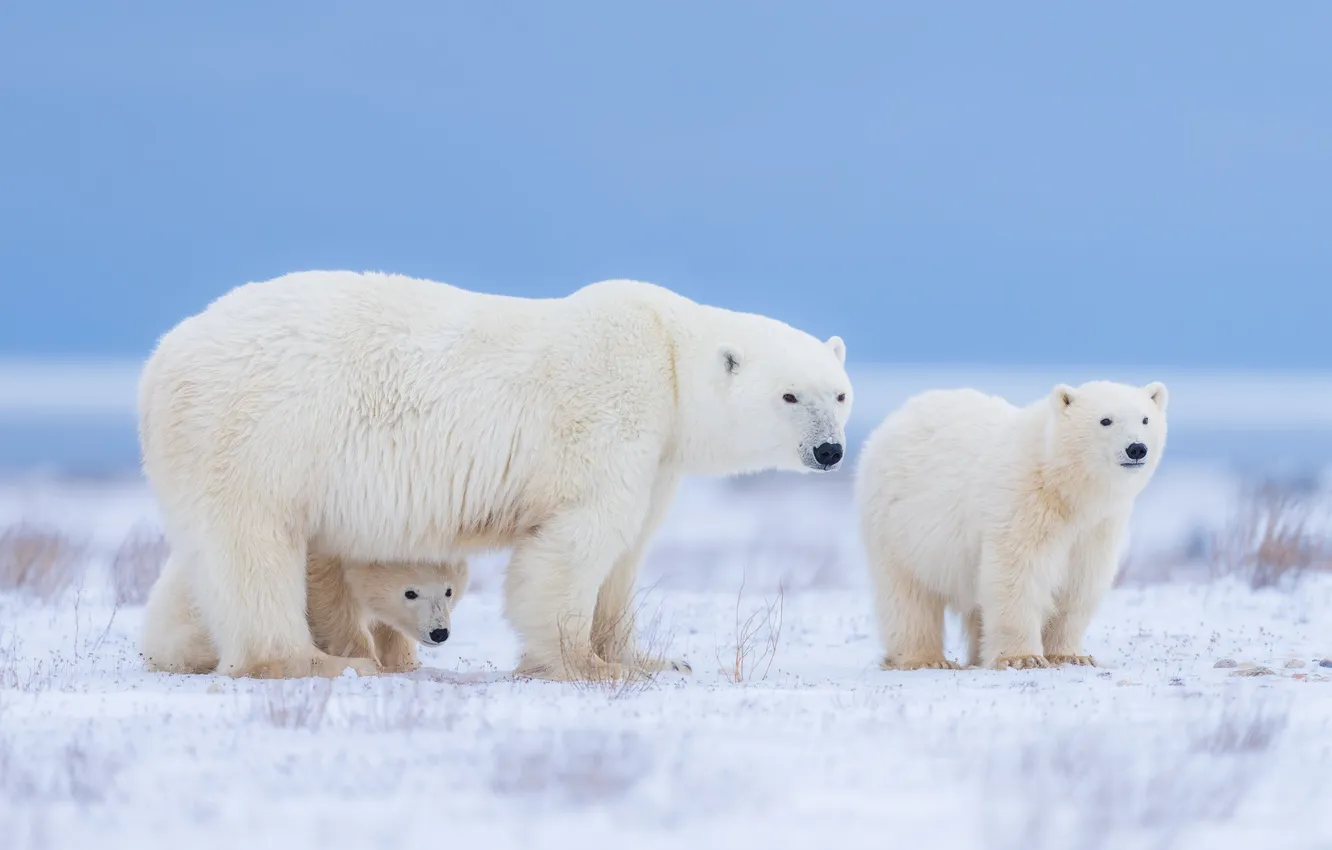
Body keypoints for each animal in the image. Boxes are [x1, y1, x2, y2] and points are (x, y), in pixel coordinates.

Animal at [856, 380, 1167, 671]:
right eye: (1105, 420)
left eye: (1145, 419)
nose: (1136, 448)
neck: (1062, 485)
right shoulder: (1022, 504)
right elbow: (1017, 574)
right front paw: (1023, 657)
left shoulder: (1096, 528)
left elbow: (1079, 585)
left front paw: (1071, 655)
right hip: (898, 525)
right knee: (907, 596)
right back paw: (925, 659)